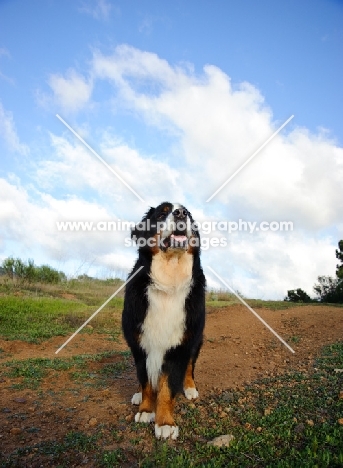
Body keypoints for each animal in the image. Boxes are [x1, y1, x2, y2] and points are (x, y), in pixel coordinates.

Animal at [122, 201, 206, 438]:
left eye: (189, 214)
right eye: (162, 213)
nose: (181, 213)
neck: (169, 283)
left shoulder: (180, 345)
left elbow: (168, 387)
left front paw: (165, 423)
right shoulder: (140, 344)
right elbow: (146, 382)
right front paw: (145, 410)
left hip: (196, 340)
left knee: (190, 367)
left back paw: (190, 388)